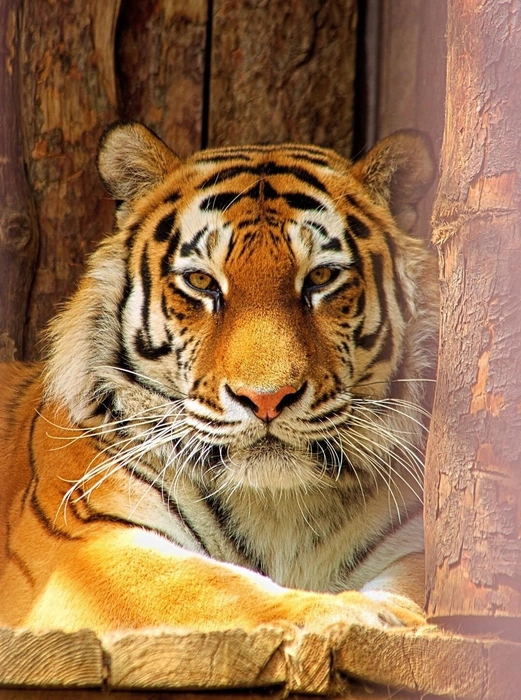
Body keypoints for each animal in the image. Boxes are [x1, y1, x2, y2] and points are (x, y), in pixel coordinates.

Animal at [0, 123, 438, 634]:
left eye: (321, 277)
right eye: (202, 283)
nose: (267, 398)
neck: (276, 507)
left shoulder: (415, 540)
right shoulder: (80, 542)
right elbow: (215, 590)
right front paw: (349, 612)